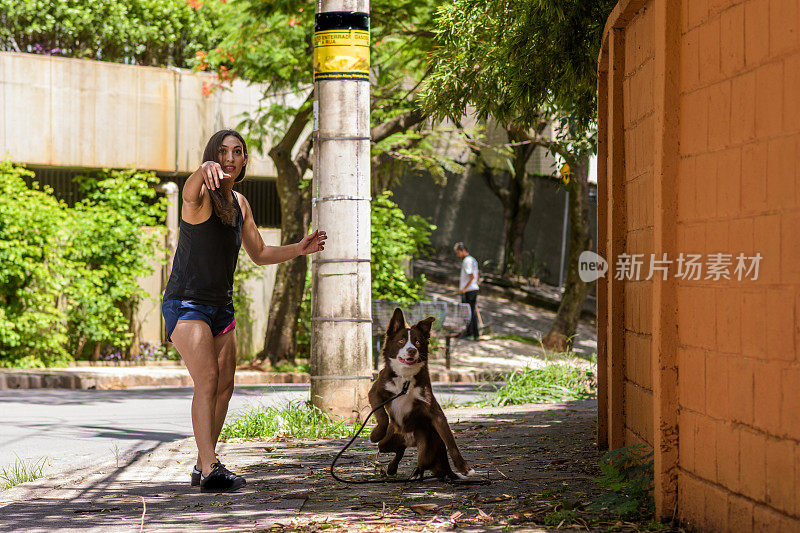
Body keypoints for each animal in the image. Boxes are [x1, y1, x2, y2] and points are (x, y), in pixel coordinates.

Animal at [368, 306, 476, 480]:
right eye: (401, 341)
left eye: (417, 341)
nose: (412, 350)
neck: (405, 377)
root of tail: (408, 439)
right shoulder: (375, 392)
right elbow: (382, 417)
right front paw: (375, 434)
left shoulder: (433, 409)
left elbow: (451, 441)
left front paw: (465, 468)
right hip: (387, 442)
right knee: (396, 449)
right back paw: (392, 468)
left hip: (425, 443)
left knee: (420, 461)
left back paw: (415, 474)